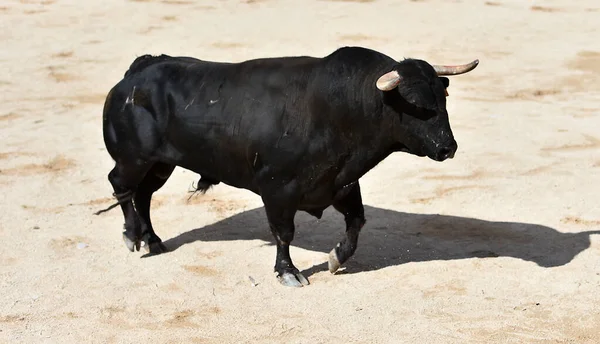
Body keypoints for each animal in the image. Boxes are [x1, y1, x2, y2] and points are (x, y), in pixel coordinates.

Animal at [98, 45, 478, 288]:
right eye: (413, 103)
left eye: (442, 97)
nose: (448, 148)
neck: (340, 110)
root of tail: (139, 70)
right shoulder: (278, 190)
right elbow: (284, 233)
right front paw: (288, 272)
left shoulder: (341, 184)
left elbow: (356, 223)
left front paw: (336, 258)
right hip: (134, 158)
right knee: (121, 185)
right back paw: (133, 236)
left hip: (161, 163)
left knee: (143, 194)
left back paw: (153, 240)